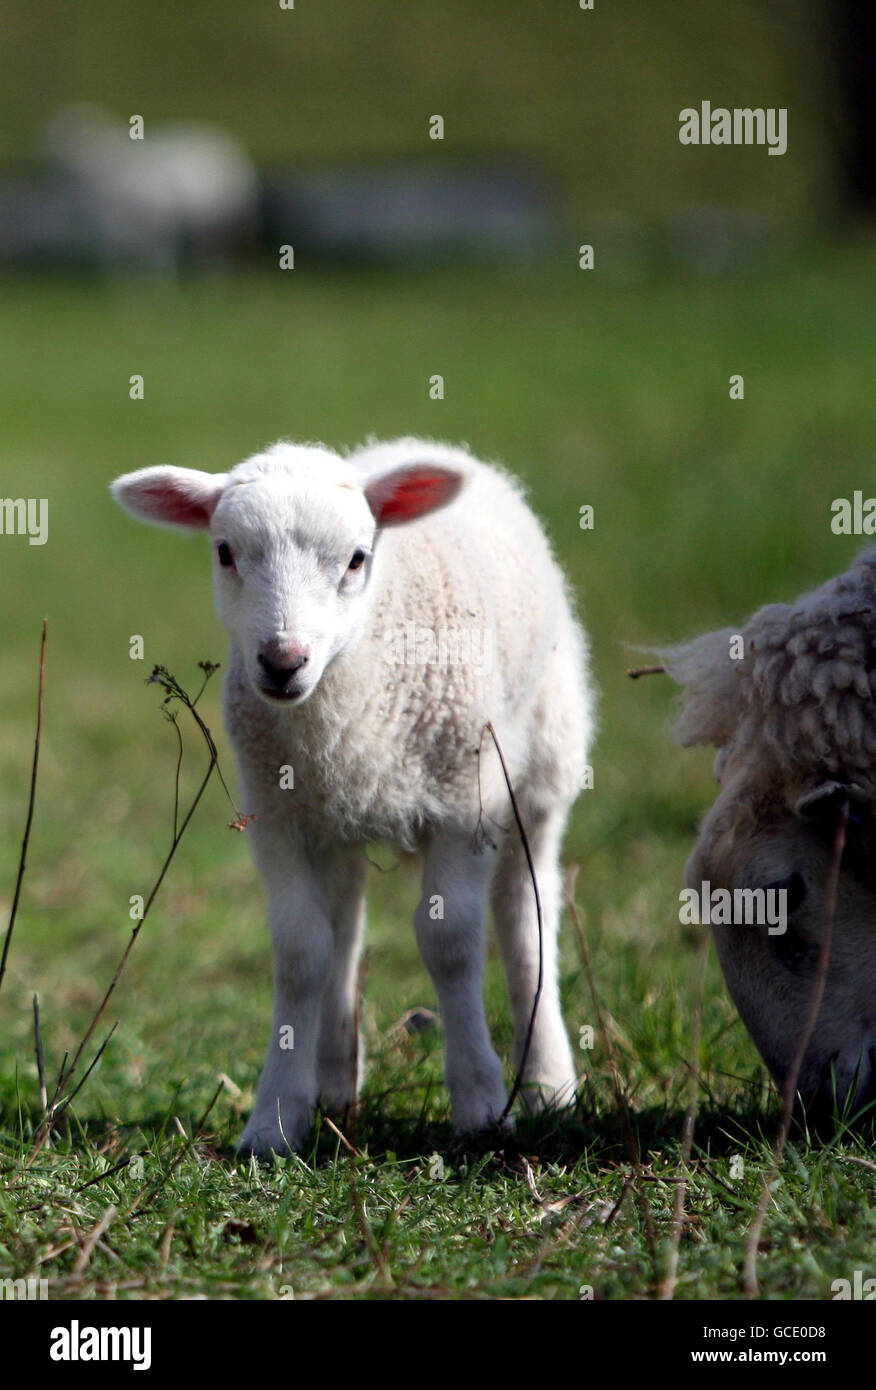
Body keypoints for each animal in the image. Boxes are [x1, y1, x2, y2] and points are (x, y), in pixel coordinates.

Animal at [111, 437, 593, 1155]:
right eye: (224, 552)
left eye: (358, 558)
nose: (282, 661)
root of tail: (424, 445)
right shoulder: (279, 815)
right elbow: (301, 952)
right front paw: (275, 1119)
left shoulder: (464, 801)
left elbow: (451, 943)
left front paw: (481, 1105)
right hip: (333, 818)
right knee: (345, 931)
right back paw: (337, 1089)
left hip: (542, 764)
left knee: (524, 915)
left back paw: (548, 1085)